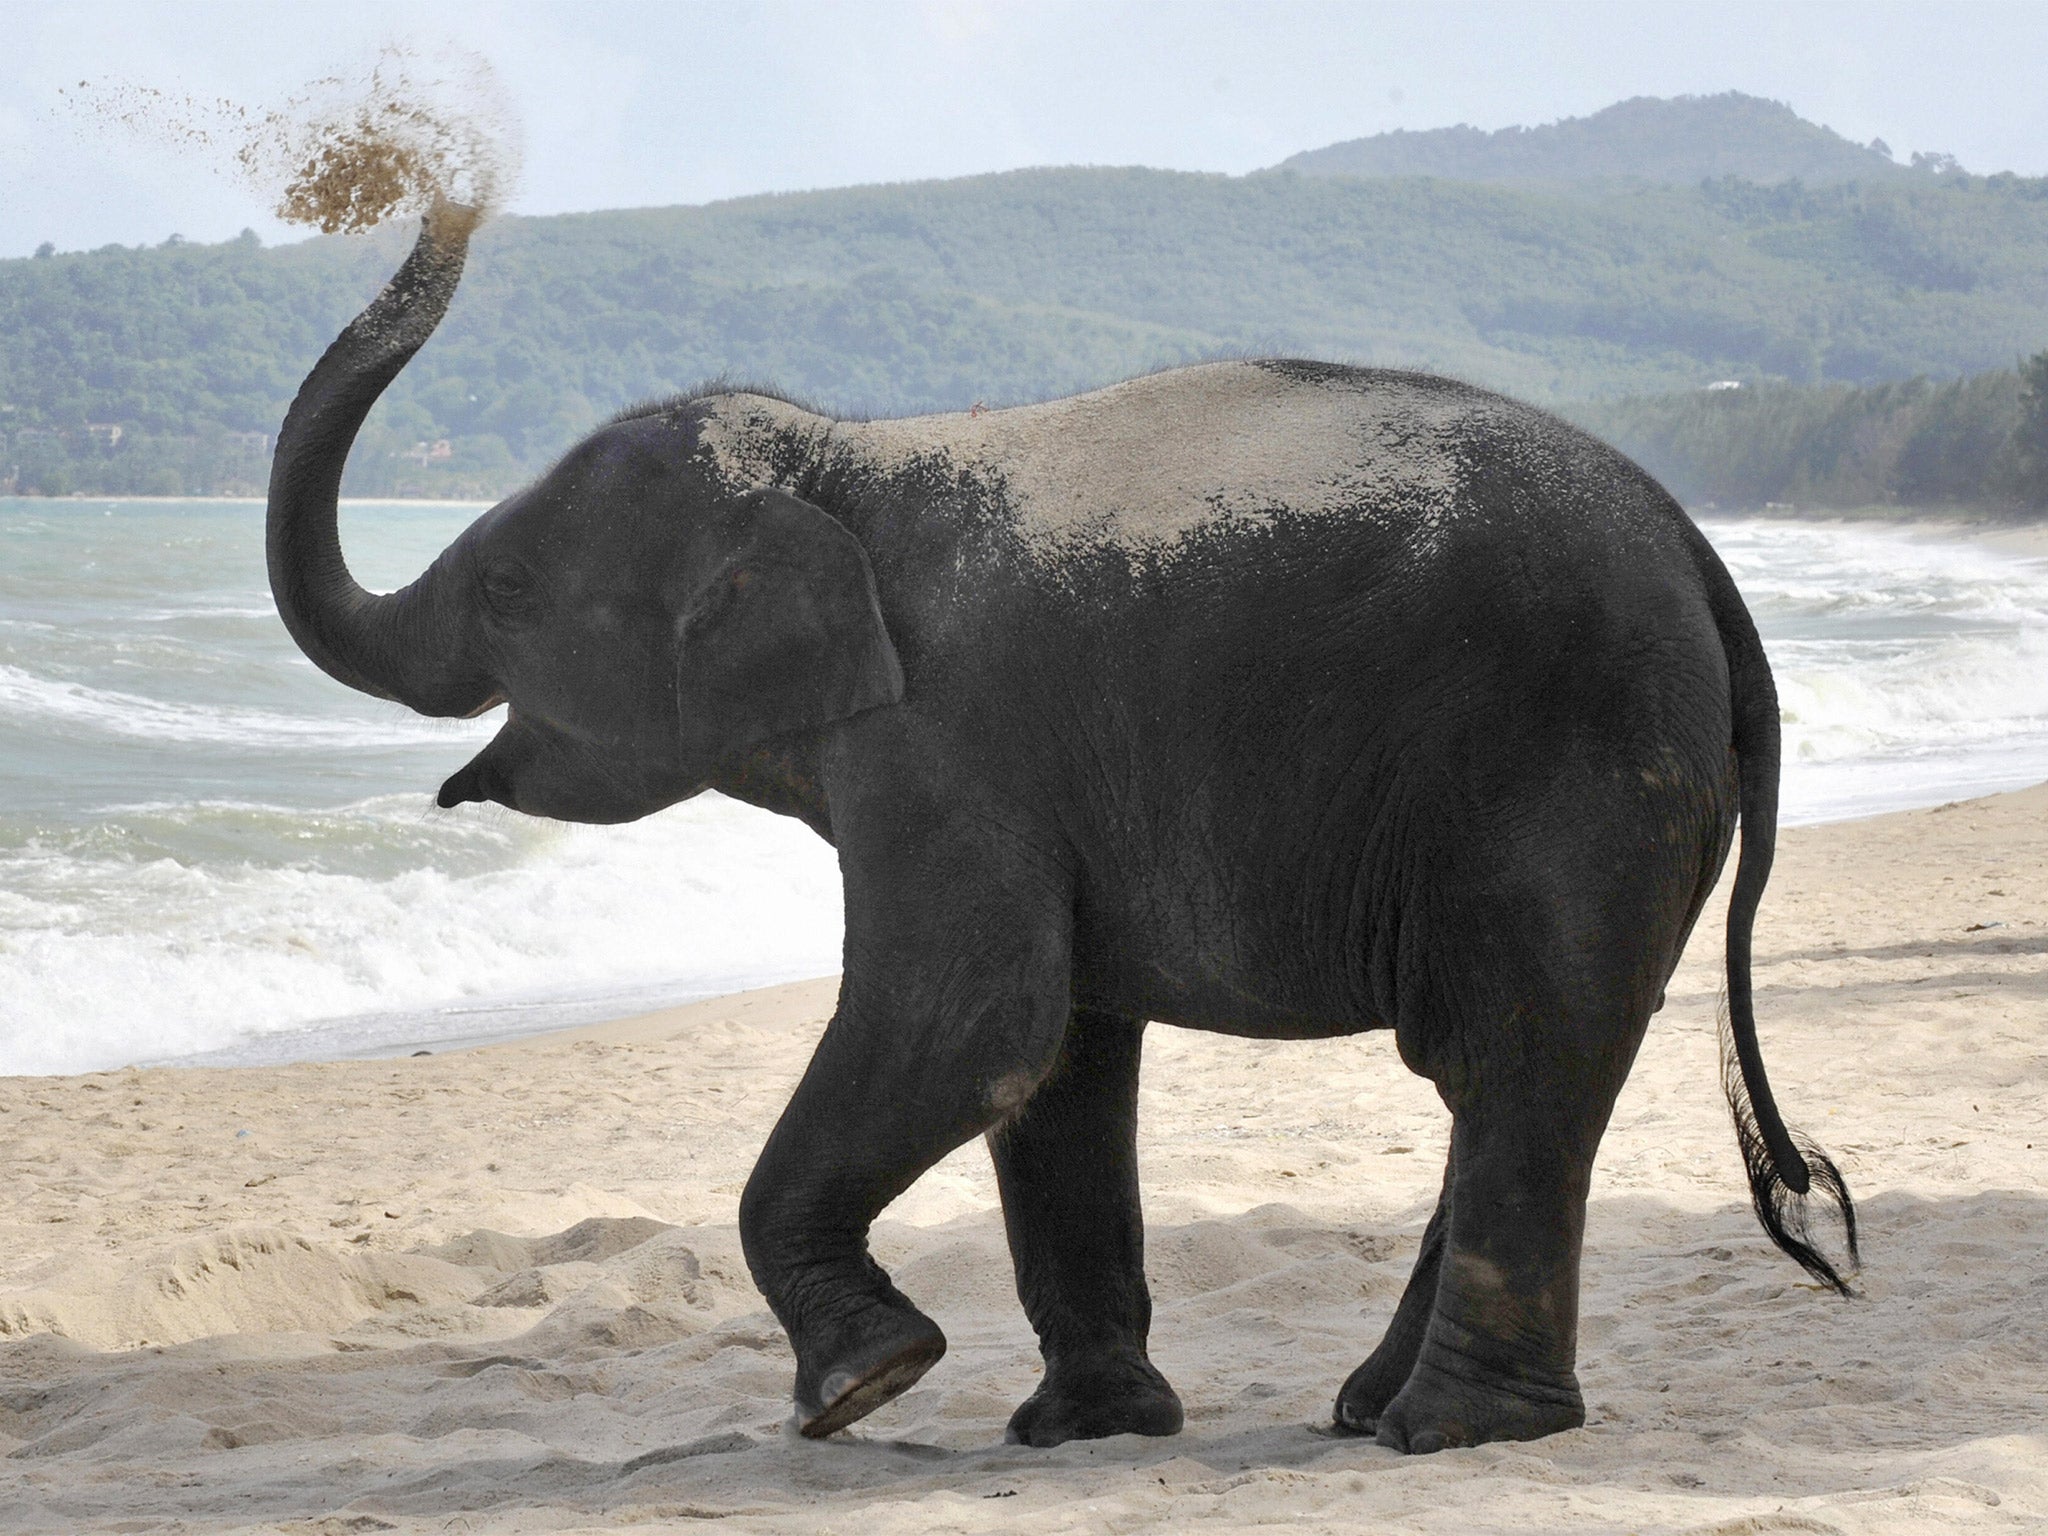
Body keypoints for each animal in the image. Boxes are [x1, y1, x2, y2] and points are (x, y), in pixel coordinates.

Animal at [264, 207, 1851, 1458]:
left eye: (511, 591)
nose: (445, 194)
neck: (840, 459)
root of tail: (1708, 566)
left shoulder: (947, 752)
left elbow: (972, 1023)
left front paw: (866, 1389)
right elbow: (1060, 1058)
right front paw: (1084, 1430)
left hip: (1572, 781)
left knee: (1516, 1056)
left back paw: (1445, 1432)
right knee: (1505, 1076)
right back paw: (1367, 1410)